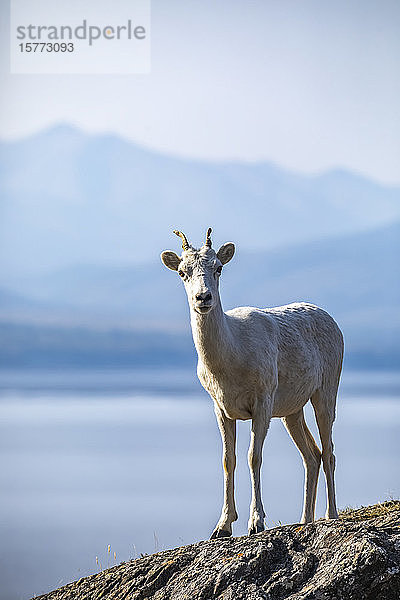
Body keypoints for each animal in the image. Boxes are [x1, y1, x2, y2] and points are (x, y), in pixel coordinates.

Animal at [161, 227, 342, 536]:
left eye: (218, 268)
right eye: (183, 272)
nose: (203, 298)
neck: (231, 358)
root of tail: (332, 321)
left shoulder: (262, 404)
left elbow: (252, 457)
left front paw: (256, 523)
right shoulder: (222, 409)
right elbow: (228, 460)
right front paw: (222, 527)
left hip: (325, 393)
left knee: (328, 452)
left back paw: (331, 516)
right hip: (292, 412)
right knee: (312, 456)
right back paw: (304, 520)